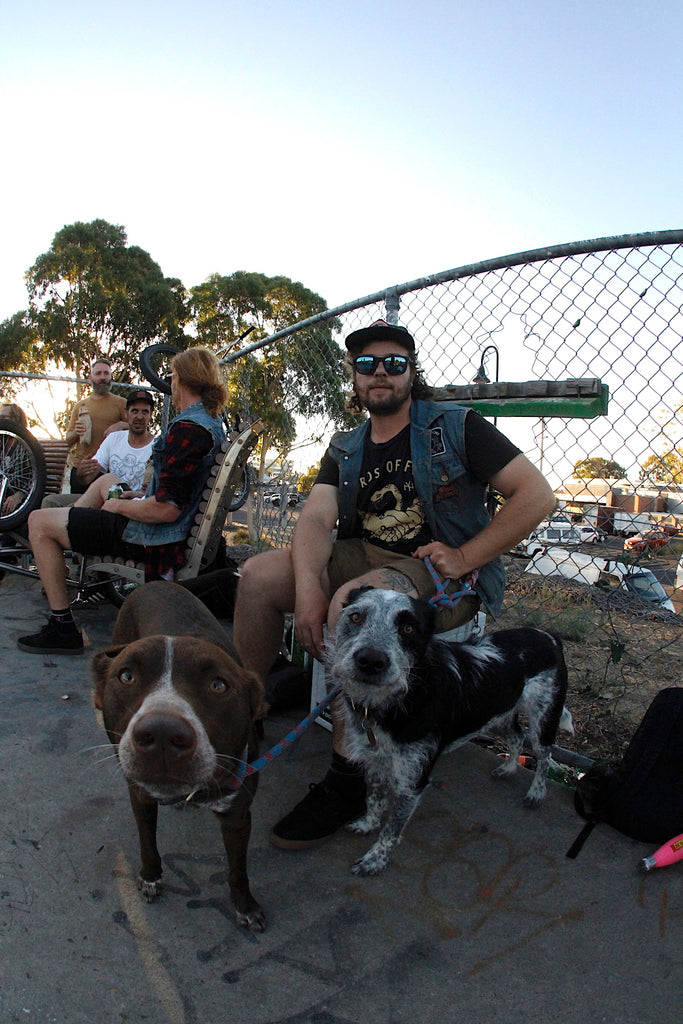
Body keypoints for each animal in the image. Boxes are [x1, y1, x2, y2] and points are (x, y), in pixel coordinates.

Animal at [92, 585, 268, 929]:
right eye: (126, 676)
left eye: (218, 685)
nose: (161, 734)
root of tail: (151, 583)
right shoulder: (140, 795)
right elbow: (147, 842)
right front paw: (150, 878)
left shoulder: (238, 815)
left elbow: (237, 869)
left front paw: (244, 905)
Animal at [327, 589, 573, 876]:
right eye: (356, 616)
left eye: (409, 628)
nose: (370, 660)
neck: (406, 696)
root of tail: (550, 637)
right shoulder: (374, 761)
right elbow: (374, 800)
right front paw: (367, 824)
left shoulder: (413, 781)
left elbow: (391, 830)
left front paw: (375, 859)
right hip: (497, 714)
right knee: (516, 736)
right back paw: (509, 768)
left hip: (543, 718)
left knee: (544, 757)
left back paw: (536, 793)